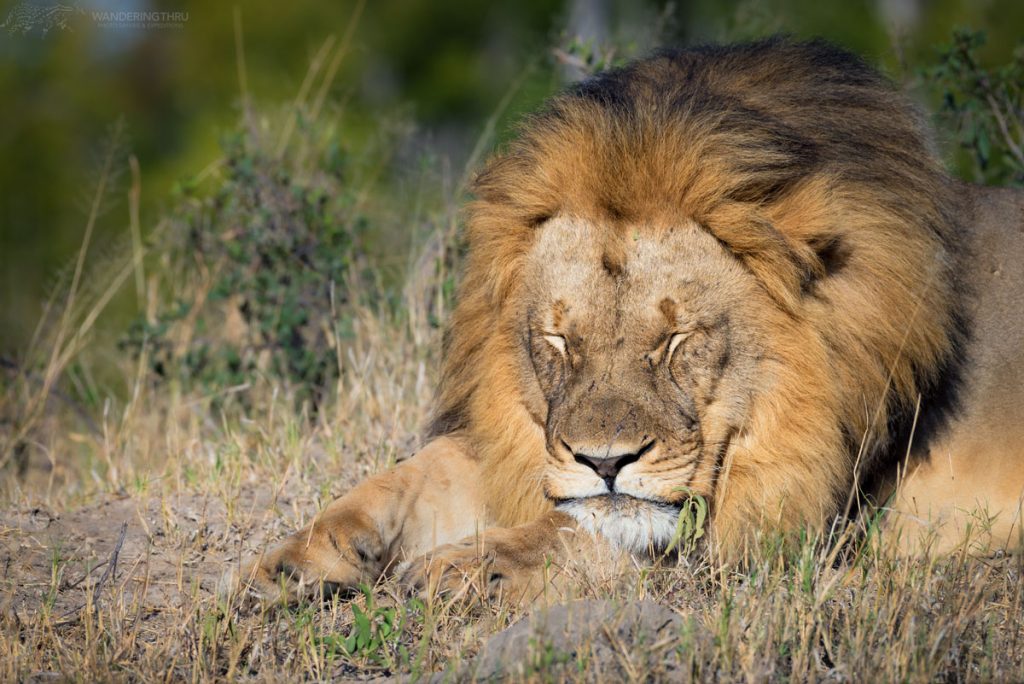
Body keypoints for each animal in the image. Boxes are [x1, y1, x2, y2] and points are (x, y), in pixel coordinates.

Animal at [238, 38, 1024, 601]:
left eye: (675, 340)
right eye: (559, 341)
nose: (605, 464)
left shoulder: (788, 516)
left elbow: (573, 531)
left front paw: (463, 568)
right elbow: (408, 478)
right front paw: (289, 564)